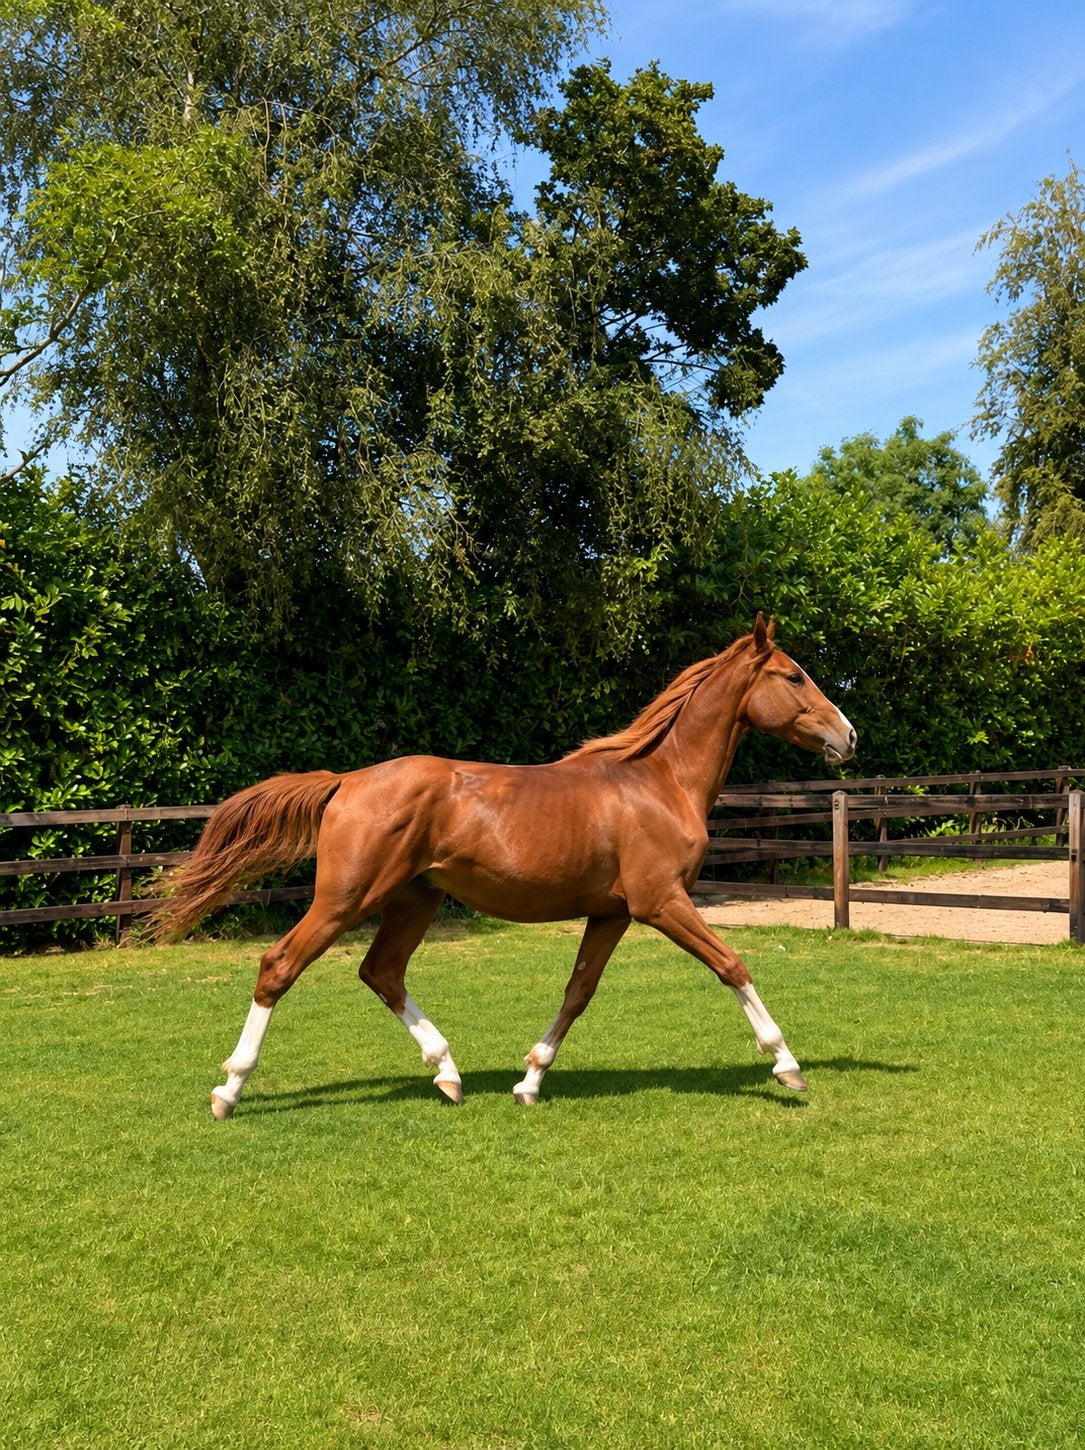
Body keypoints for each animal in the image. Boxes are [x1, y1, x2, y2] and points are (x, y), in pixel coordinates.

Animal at [151, 614, 856, 1118]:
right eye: (794, 676)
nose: (848, 736)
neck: (661, 782)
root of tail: (347, 780)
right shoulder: (662, 903)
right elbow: (732, 965)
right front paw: (786, 1065)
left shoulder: (612, 914)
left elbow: (577, 992)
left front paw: (530, 1080)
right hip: (346, 899)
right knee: (279, 966)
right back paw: (229, 1091)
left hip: (416, 899)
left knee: (381, 972)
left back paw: (449, 1074)